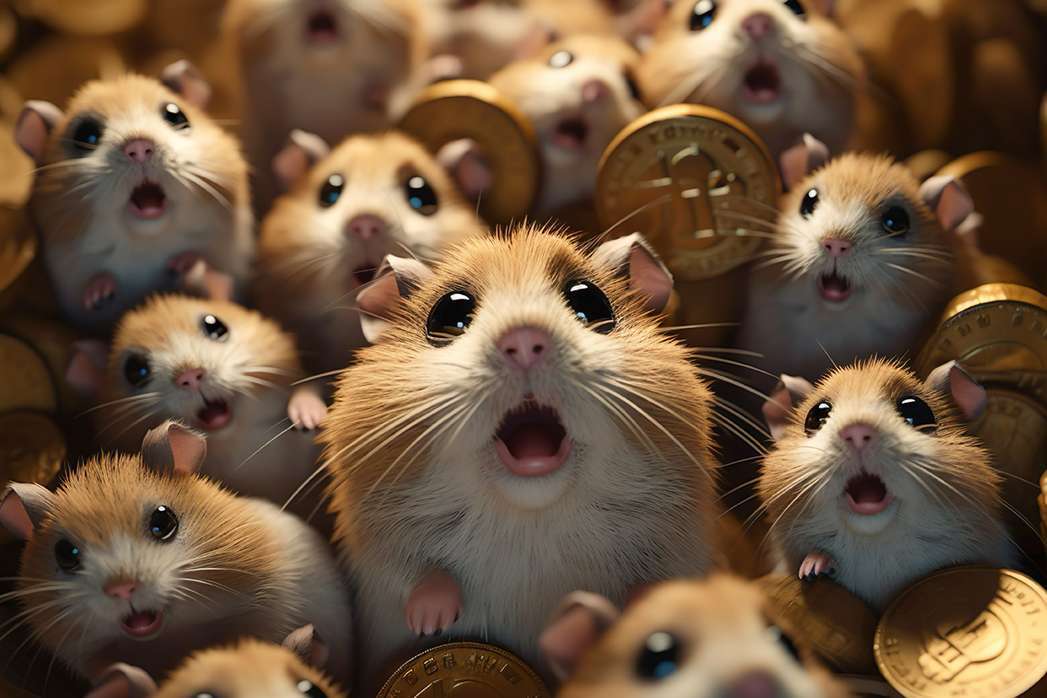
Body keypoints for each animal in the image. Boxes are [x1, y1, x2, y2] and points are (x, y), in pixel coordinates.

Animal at [0, 421, 352, 685]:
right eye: (65, 554)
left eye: (163, 521)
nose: (122, 588)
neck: (172, 633)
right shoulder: (83, 654)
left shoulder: (273, 607)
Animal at [14, 63, 254, 336]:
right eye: (86, 135)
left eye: (175, 115)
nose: (139, 148)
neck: (148, 240)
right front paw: (99, 292)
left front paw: (186, 264)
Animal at [66, 294, 330, 524]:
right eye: (135, 369)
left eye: (215, 326)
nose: (190, 376)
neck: (231, 440)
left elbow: (309, 386)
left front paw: (306, 416)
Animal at [320, 226, 719, 689]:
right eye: (449, 315)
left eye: (590, 302)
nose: (525, 341)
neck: (531, 517)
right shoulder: (378, 544)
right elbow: (419, 574)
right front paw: (431, 622)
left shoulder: (675, 539)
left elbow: (655, 580)